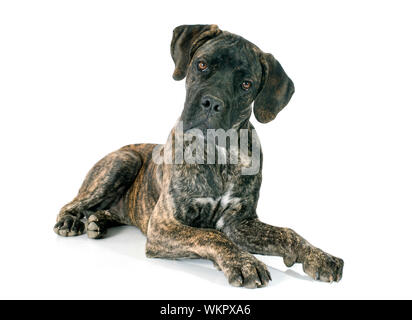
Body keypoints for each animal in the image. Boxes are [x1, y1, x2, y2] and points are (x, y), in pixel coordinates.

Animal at [55, 25, 344, 288]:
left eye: (246, 84)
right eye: (202, 65)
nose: (212, 103)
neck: (220, 154)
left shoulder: (240, 222)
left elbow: (287, 233)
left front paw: (319, 256)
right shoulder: (164, 226)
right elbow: (211, 236)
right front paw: (244, 262)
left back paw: (98, 221)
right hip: (123, 162)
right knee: (73, 203)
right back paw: (70, 221)